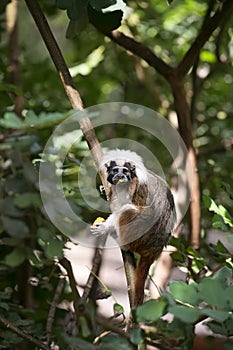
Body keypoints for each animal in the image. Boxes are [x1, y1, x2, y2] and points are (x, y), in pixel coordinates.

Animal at [90, 149, 176, 308]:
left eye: (125, 171)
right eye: (115, 170)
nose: (120, 176)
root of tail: (156, 248)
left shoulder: (137, 185)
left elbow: (125, 206)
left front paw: (105, 227)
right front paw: (104, 189)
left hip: (142, 234)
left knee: (129, 210)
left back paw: (122, 242)